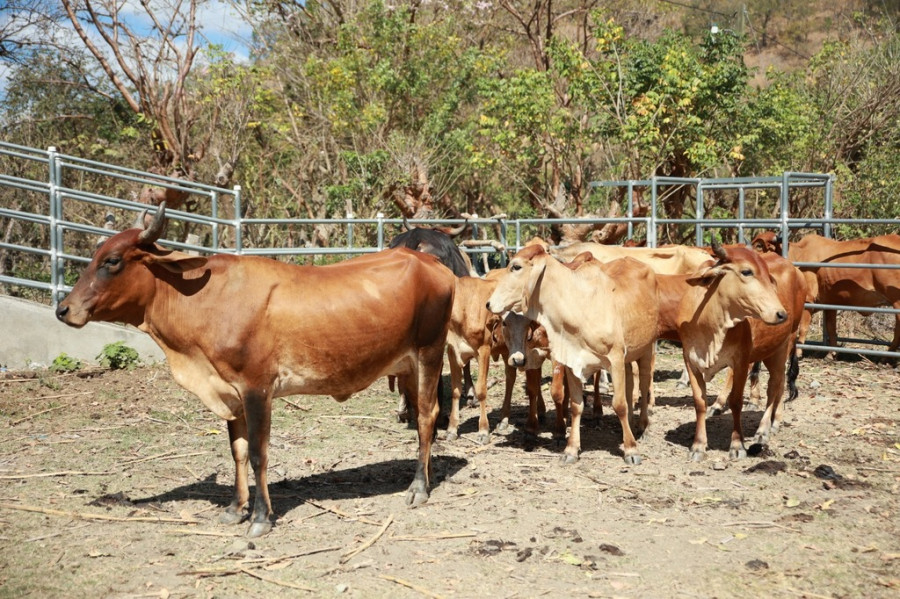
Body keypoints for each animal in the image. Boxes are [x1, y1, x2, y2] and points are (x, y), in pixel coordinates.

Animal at [52, 203, 454, 540]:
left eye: (112, 260)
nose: (63, 309)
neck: (206, 301)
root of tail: (431, 264)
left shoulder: (256, 389)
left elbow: (259, 452)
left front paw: (260, 517)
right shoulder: (230, 393)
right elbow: (239, 451)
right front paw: (235, 508)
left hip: (429, 352)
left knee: (427, 415)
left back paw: (419, 487)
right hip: (407, 364)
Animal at [752, 233, 900, 356]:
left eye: (758, 246)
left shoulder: (808, 300)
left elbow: (803, 328)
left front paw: (798, 353)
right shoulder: (830, 303)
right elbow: (831, 328)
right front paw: (831, 353)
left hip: (896, 301)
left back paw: (887, 356)